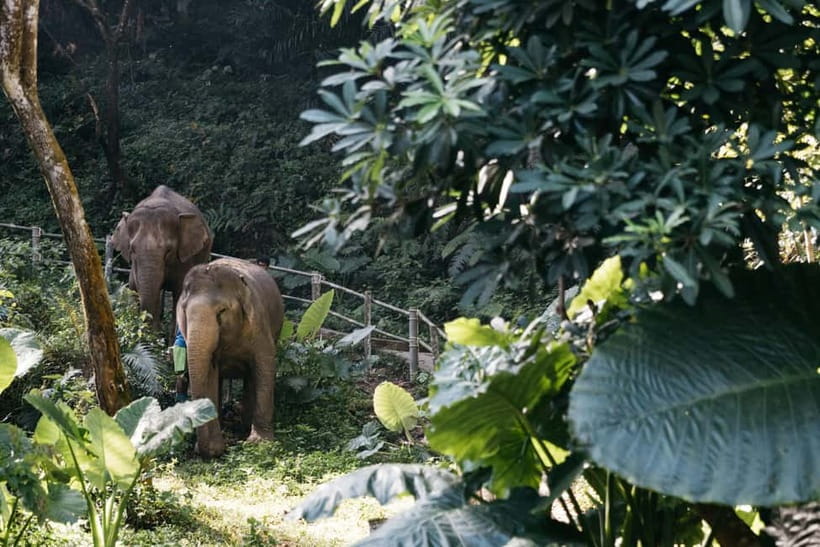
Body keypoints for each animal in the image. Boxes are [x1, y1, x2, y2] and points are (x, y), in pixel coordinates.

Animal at [176, 257, 285, 458]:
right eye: (184, 312)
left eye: (221, 311)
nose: (202, 450)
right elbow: (210, 374)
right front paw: (214, 448)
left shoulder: (259, 325)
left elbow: (265, 365)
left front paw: (260, 444)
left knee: (252, 377)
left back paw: (245, 427)